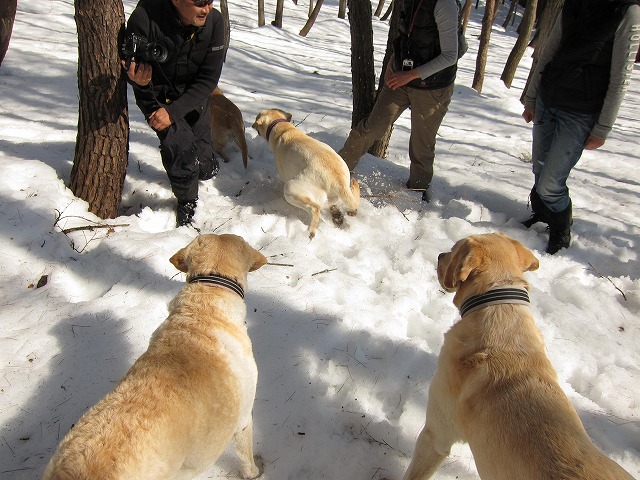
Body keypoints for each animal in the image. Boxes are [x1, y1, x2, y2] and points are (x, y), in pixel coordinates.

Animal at [251, 107, 360, 238]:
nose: (252, 126)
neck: (284, 128)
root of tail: (339, 181)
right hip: (332, 196)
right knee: (327, 204)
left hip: (290, 189)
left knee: (315, 209)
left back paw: (310, 232)